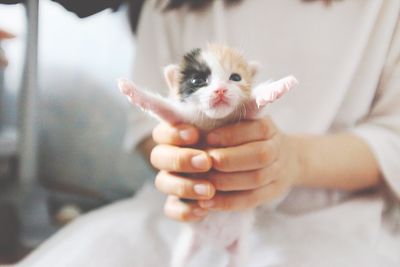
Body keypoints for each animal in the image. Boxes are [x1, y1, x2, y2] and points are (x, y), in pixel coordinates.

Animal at [118, 44, 296, 267]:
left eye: (235, 77)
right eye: (197, 80)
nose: (220, 89)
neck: (213, 121)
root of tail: (215, 243)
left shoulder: (246, 116)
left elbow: (252, 105)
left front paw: (276, 88)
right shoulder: (181, 117)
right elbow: (162, 107)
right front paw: (132, 91)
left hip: (239, 249)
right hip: (188, 243)